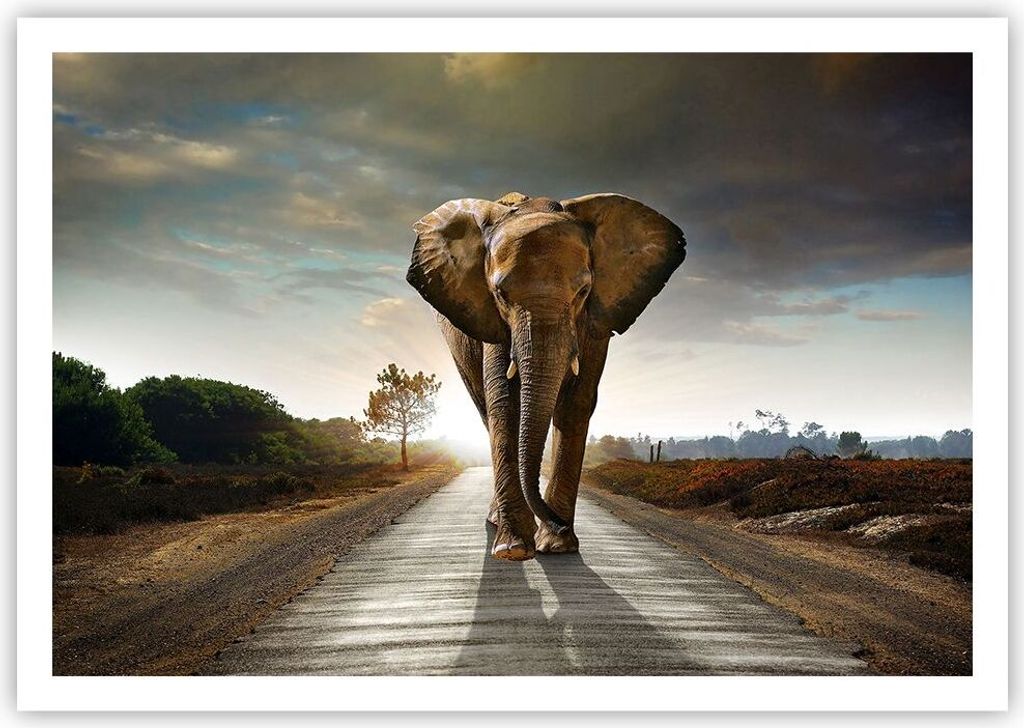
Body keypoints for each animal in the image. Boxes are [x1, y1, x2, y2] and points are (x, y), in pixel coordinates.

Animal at [406, 191, 685, 560]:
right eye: (500, 294)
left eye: (583, 292)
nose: (558, 523)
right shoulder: (493, 322)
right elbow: (504, 402)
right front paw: (513, 549)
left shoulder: (595, 321)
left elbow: (576, 403)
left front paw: (557, 546)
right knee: (485, 409)